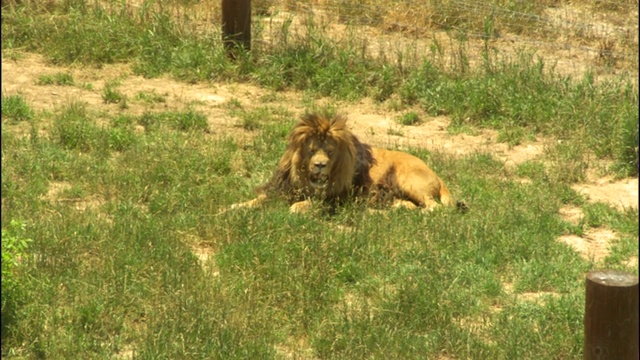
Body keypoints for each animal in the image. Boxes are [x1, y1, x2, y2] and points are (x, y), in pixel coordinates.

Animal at [230, 112, 464, 214]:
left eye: (330, 152)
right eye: (312, 150)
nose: (320, 165)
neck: (305, 180)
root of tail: (437, 175)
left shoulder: (335, 199)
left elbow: (305, 205)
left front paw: (297, 208)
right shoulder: (282, 189)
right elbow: (257, 200)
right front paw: (233, 207)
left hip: (408, 179)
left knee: (434, 207)